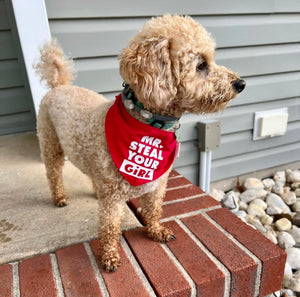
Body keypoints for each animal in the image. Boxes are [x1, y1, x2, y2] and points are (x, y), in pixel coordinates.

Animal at [35, 15, 246, 272]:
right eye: (201, 65)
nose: (241, 84)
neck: (149, 124)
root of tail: (59, 85)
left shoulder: (157, 184)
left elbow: (154, 209)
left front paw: (155, 231)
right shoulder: (113, 199)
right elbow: (110, 226)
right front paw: (110, 255)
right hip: (50, 143)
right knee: (54, 173)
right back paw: (59, 197)